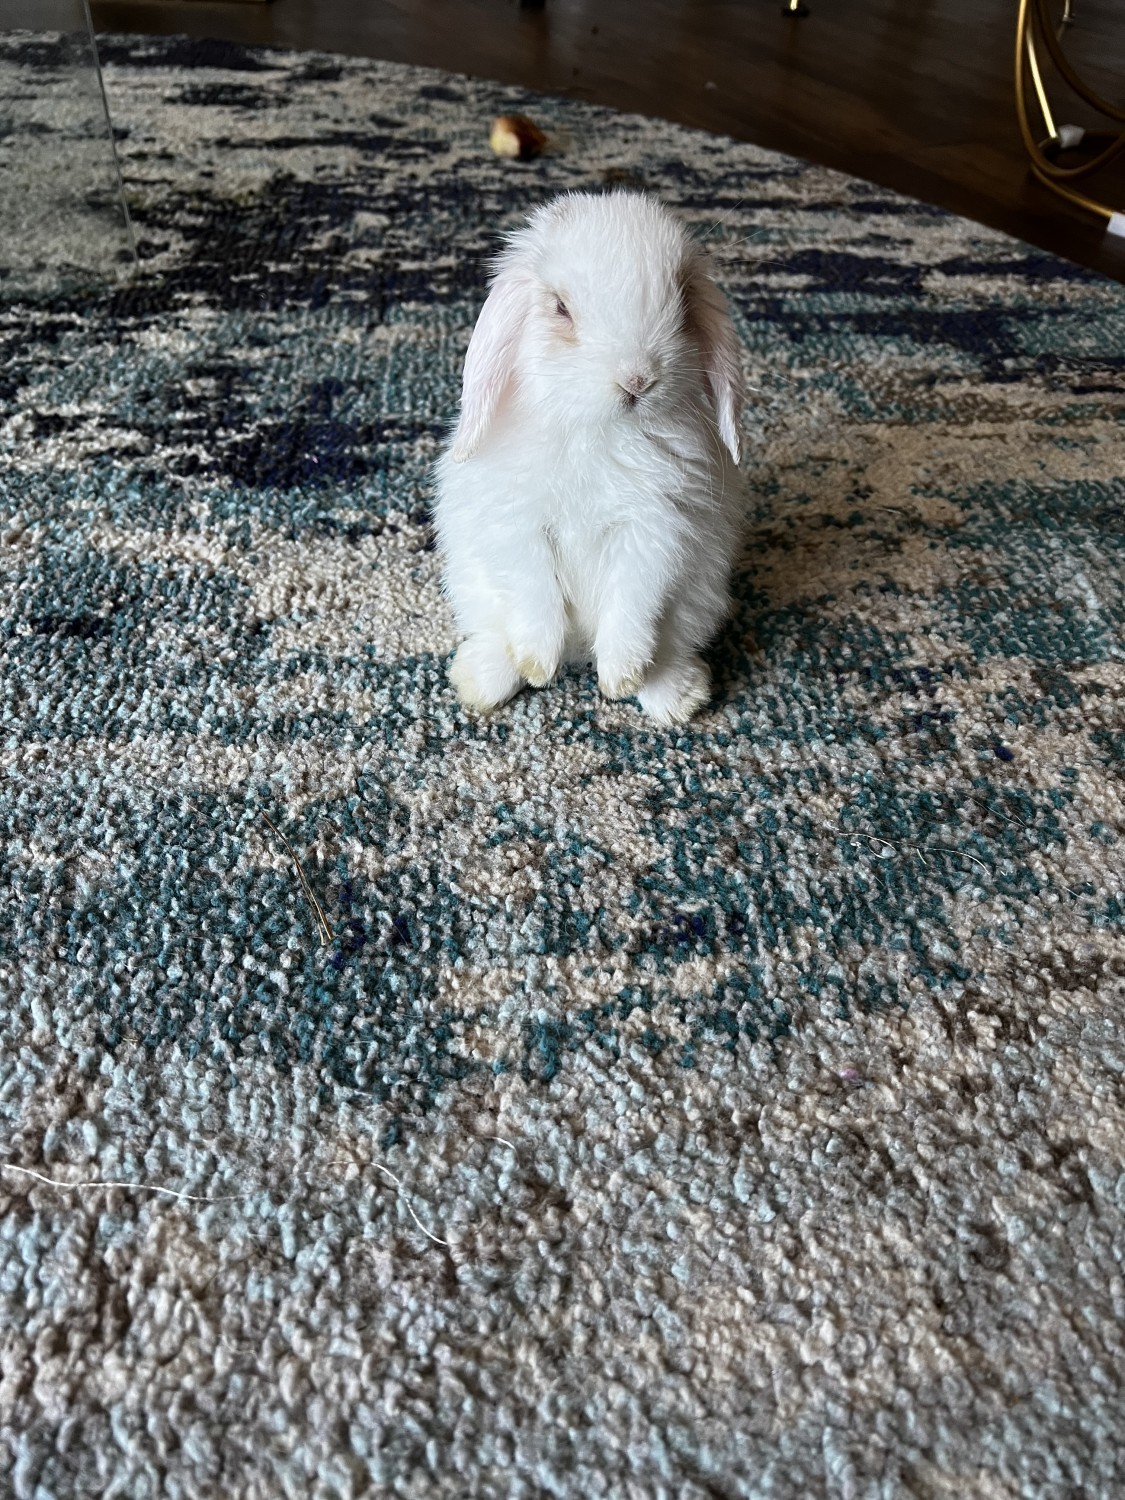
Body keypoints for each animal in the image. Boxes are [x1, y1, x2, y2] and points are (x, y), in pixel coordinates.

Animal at [432, 189, 745, 726]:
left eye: (684, 302)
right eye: (560, 307)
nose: (637, 380)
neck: (595, 430)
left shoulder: (655, 531)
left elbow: (633, 606)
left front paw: (619, 680)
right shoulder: (519, 526)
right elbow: (534, 595)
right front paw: (538, 667)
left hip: (697, 600)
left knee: (665, 648)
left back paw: (678, 697)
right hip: (471, 585)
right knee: (497, 633)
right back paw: (480, 683)